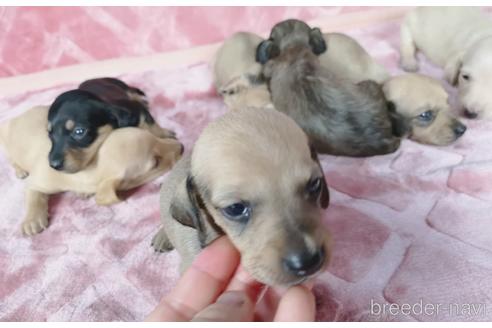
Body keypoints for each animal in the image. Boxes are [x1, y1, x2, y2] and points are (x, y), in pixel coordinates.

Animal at [0, 106, 184, 234]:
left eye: (155, 138)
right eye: (156, 163)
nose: (182, 147)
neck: (88, 166)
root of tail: (14, 119)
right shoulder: (38, 181)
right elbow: (34, 196)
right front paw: (32, 220)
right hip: (7, 144)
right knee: (11, 159)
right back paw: (19, 170)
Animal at [47, 78, 175, 173]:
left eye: (79, 131)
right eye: (49, 134)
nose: (54, 165)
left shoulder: (137, 110)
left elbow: (152, 124)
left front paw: (166, 135)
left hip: (123, 87)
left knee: (133, 92)